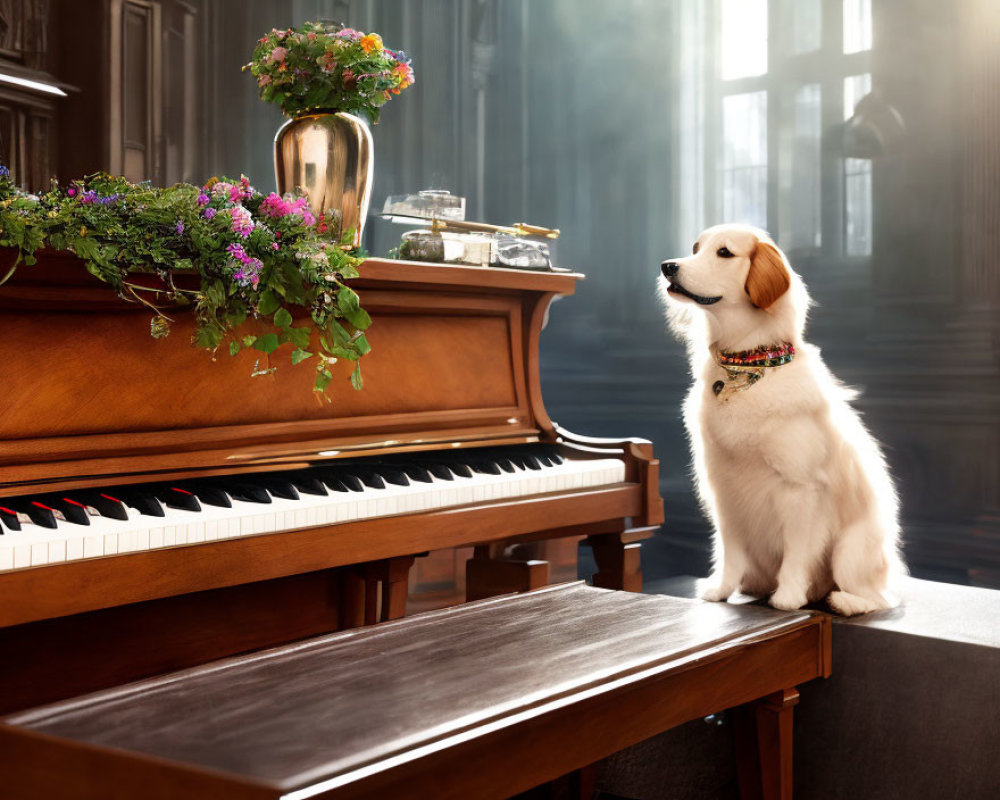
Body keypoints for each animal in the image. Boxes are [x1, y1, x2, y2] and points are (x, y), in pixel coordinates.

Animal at [656, 222, 908, 616]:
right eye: (695, 248)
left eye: (724, 253)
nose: (668, 266)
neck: (747, 365)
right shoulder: (724, 490)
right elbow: (729, 551)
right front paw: (721, 590)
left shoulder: (800, 489)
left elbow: (796, 553)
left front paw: (788, 598)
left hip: (851, 550)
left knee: (878, 598)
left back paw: (841, 600)